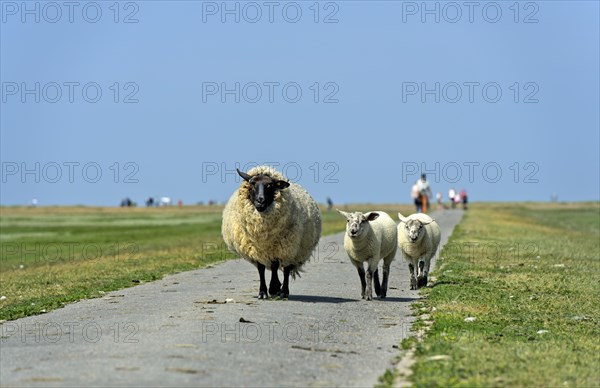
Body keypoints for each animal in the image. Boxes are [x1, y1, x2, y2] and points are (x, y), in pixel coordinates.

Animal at [221, 165, 324, 298]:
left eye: (270, 185)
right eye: (252, 183)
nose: (260, 200)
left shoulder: (278, 247)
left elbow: (275, 266)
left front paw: (274, 287)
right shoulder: (256, 248)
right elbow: (261, 268)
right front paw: (262, 292)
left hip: (291, 248)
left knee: (286, 269)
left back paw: (284, 291)